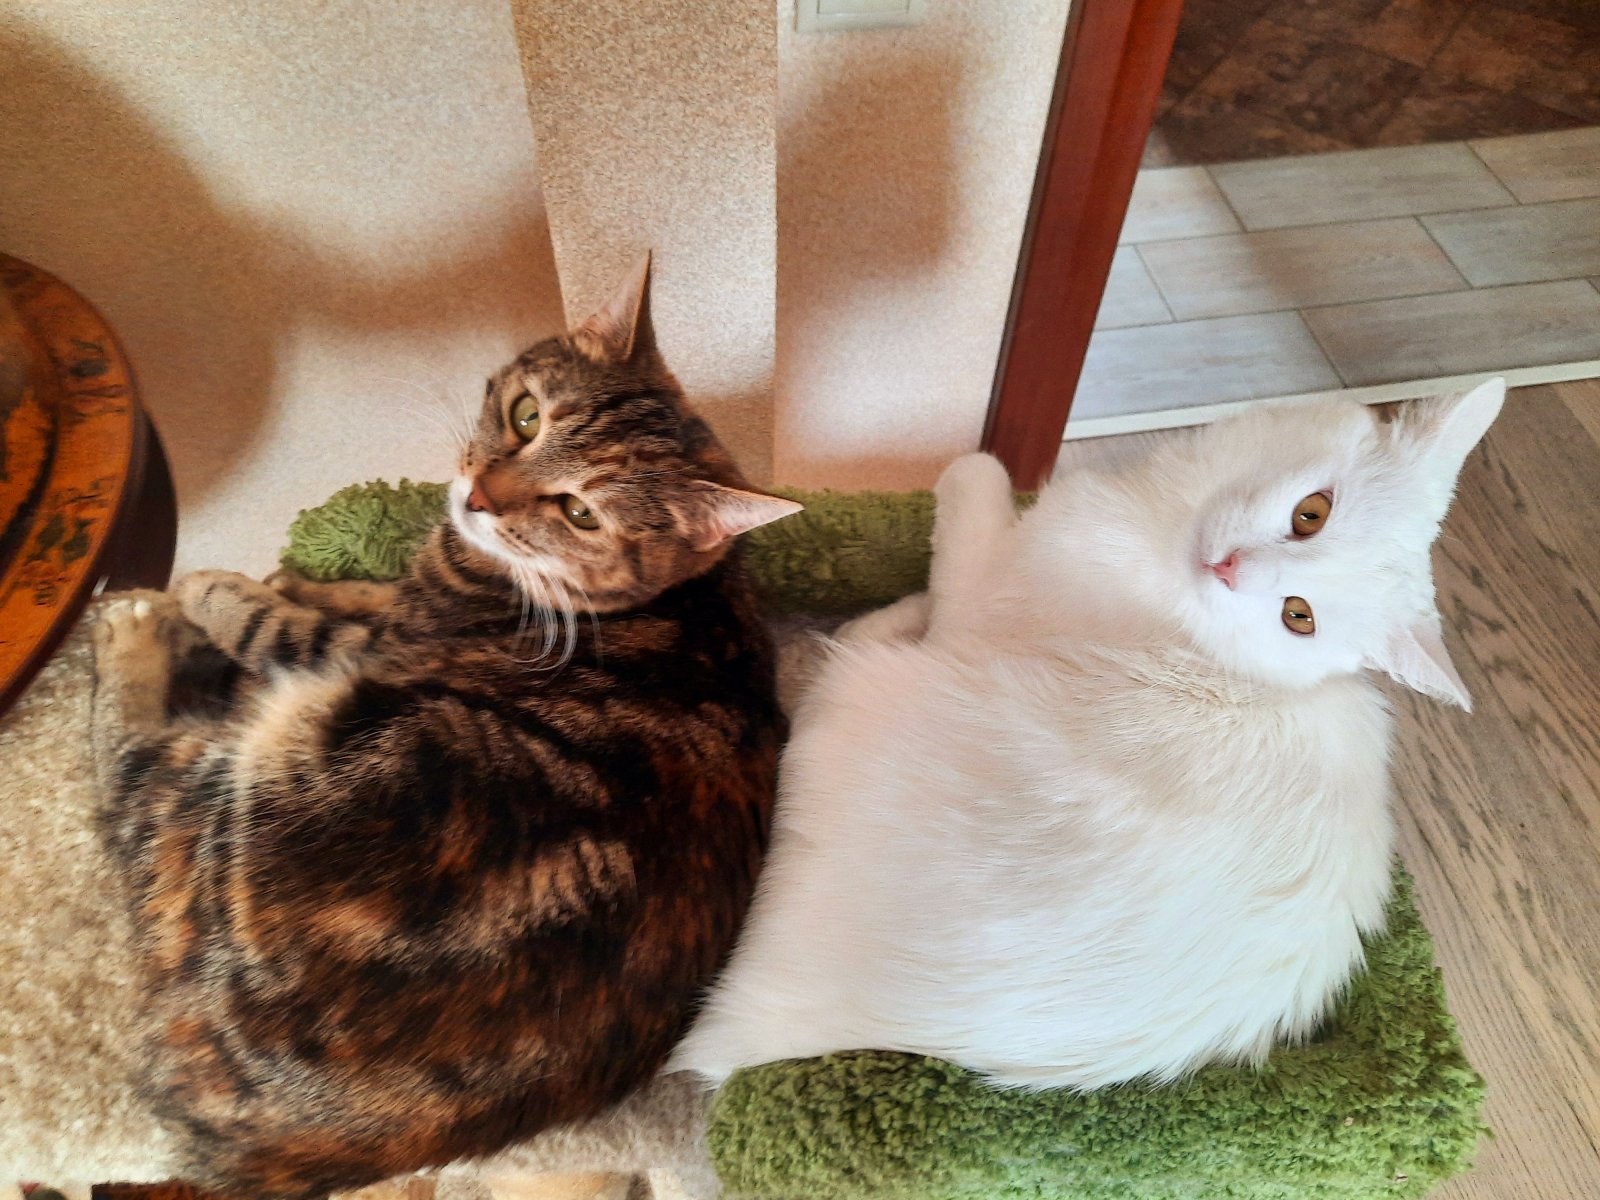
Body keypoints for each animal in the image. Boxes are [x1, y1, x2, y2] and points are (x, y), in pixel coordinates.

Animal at [88, 254, 799, 1199]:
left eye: (581, 513)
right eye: (527, 415)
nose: (481, 496)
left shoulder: (376, 648)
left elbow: (285, 625)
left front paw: (222, 590)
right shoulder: (399, 609)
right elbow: (358, 592)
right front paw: (302, 574)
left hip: (292, 773)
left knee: (128, 786)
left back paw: (134, 628)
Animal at [669, 382, 1503, 1090]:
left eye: (1298, 616)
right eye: (1312, 513)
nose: (1230, 569)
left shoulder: (983, 598)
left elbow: (973, 480)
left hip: (863, 691)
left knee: (851, 655)